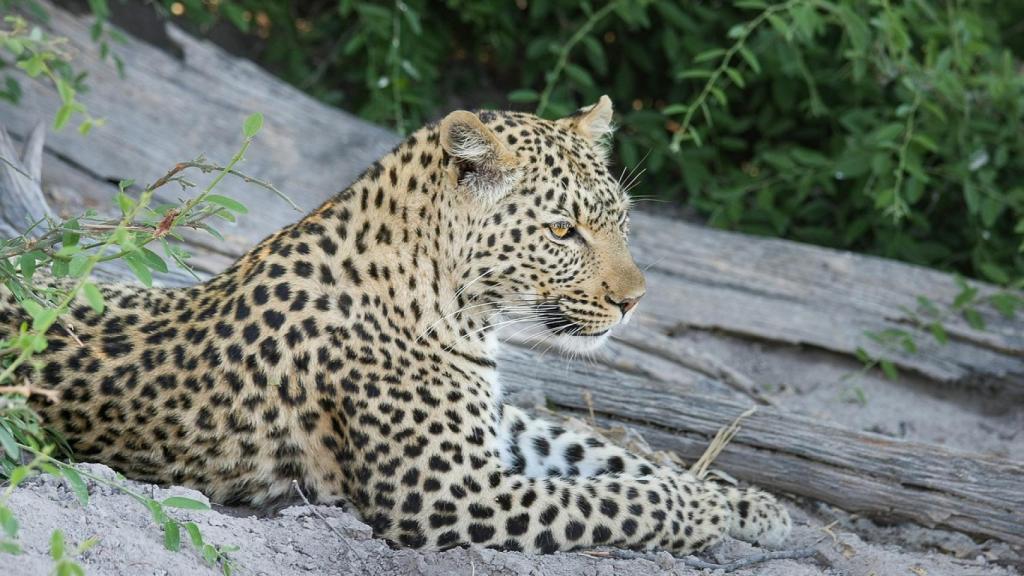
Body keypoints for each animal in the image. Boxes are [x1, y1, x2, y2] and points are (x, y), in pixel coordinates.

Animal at [0, 96, 791, 554]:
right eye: (562, 230)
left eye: (620, 220)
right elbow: (614, 500)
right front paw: (703, 513)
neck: (459, 305)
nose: (636, 301)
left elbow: (609, 454)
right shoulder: (449, 493)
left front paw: (752, 505)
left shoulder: (495, 425)